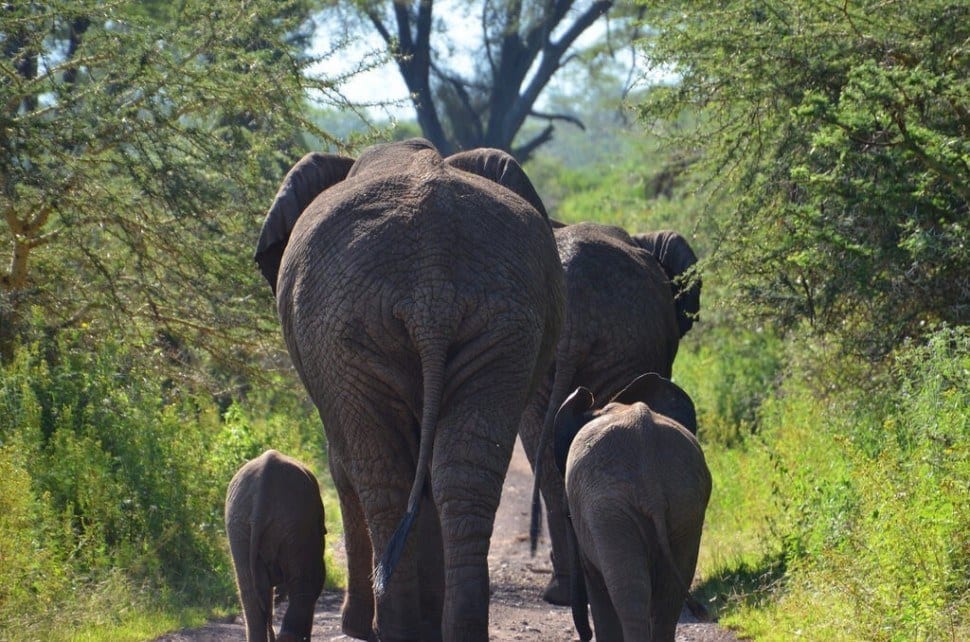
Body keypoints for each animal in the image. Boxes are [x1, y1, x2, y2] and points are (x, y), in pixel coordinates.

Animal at [254, 138, 564, 641]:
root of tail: (431, 290)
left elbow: (343, 465)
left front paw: (363, 627)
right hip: (504, 322)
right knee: (462, 472)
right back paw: (455, 629)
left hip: (346, 325)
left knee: (382, 472)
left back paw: (389, 628)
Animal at [553, 373, 712, 642]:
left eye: (567, 516)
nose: (584, 635)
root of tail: (651, 483)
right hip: (686, 503)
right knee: (669, 595)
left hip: (609, 509)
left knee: (630, 593)